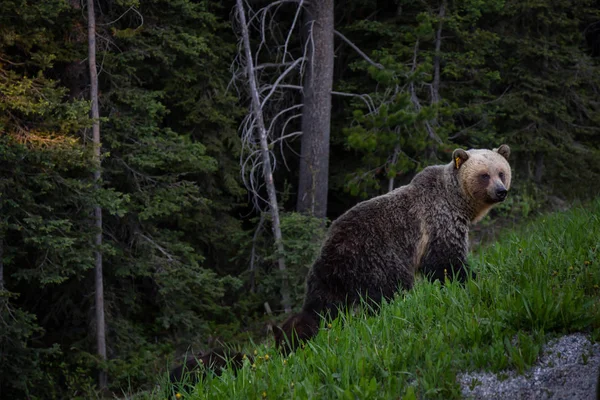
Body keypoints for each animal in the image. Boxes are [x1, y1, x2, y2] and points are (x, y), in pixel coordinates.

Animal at [276, 145, 510, 350]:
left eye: (501, 172)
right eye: (484, 175)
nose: (501, 191)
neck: (458, 202)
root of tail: (330, 254)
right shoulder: (439, 223)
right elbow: (446, 262)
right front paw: (470, 278)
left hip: (329, 279)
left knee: (323, 308)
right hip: (377, 259)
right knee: (391, 290)